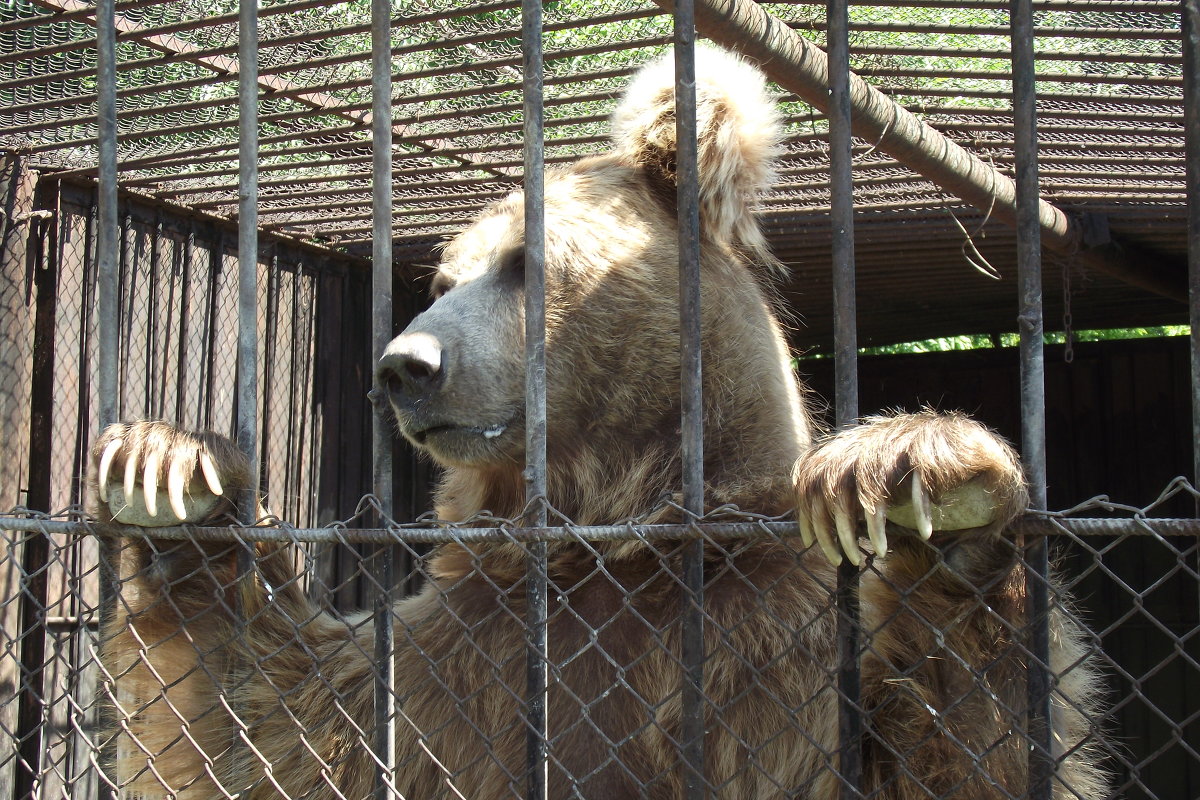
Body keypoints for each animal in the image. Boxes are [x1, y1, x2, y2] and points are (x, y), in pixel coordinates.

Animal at [91, 45, 1104, 800]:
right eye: (443, 277)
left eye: (524, 263)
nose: (404, 367)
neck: (608, 527)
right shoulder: (463, 667)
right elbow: (275, 726)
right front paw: (171, 475)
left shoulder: (776, 653)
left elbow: (948, 750)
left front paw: (923, 482)